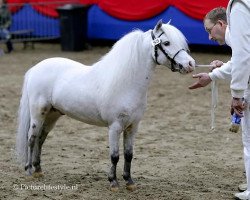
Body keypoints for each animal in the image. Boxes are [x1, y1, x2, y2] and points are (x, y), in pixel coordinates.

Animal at [16, 20, 195, 191]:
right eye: (166, 43)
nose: (190, 64)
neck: (126, 83)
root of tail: (35, 68)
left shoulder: (132, 127)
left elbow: (129, 154)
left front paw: (129, 182)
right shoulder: (114, 127)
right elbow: (114, 156)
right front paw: (113, 182)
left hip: (53, 115)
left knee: (41, 139)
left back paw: (39, 170)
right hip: (38, 114)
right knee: (32, 138)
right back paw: (29, 170)